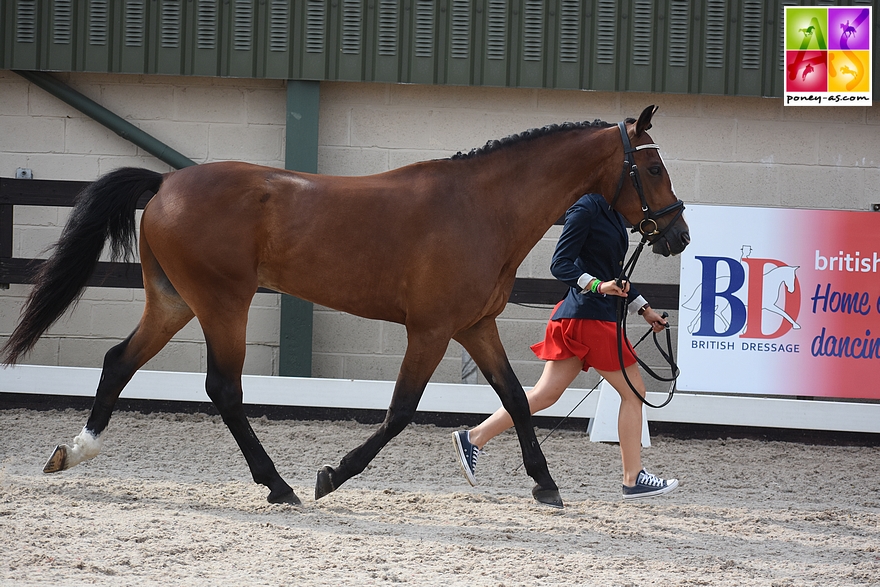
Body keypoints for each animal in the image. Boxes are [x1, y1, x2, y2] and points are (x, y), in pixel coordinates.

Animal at [3, 104, 688, 506]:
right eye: (653, 167)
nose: (678, 234)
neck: (481, 209)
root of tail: (168, 181)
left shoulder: (474, 326)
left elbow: (517, 399)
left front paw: (545, 484)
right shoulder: (430, 330)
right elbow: (400, 412)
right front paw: (331, 475)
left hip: (174, 302)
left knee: (120, 361)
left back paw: (74, 452)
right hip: (223, 303)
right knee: (223, 387)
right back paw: (279, 486)